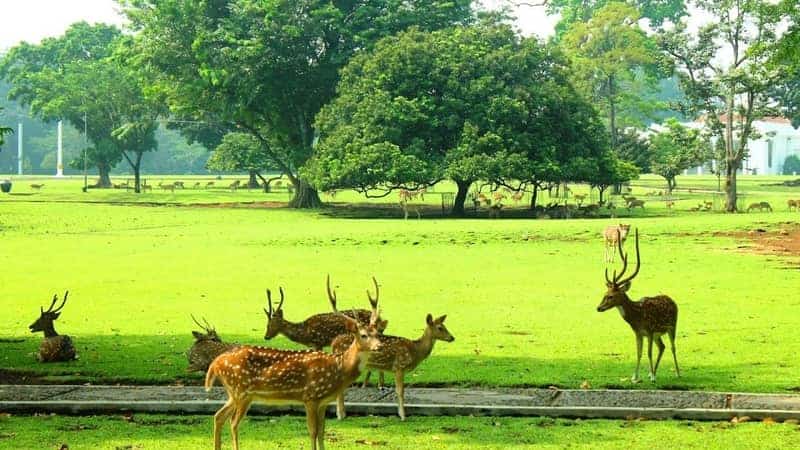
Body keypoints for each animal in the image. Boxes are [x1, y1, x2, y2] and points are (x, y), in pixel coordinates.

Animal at [208, 292, 382, 450]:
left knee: (218, 416)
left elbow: (322, 431)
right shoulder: (310, 397)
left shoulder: (323, 402)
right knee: (233, 422)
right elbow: (313, 431)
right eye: (363, 335)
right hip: (242, 392)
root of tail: (215, 363)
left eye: (377, 333)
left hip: (235, 393)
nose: (379, 346)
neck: (338, 370)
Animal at [596, 229, 680, 384]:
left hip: (672, 326)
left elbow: (648, 353)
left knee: (672, 347)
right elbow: (639, 353)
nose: (598, 308)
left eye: (611, 296)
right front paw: (636, 377)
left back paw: (677, 373)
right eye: (605, 293)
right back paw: (652, 372)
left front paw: (652, 377)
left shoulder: (650, 330)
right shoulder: (639, 333)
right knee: (662, 347)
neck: (637, 316)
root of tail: (671, 299)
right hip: (658, 334)